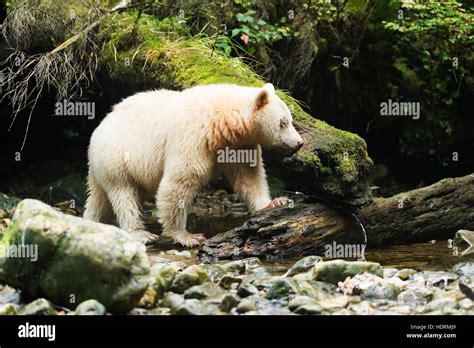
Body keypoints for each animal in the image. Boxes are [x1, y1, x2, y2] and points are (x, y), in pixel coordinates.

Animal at [84, 83, 304, 247]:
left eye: (291, 120)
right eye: (284, 122)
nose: (299, 143)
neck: (223, 120)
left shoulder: (240, 143)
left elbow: (249, 177)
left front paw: (274, 202)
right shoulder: (194, 136)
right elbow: (180, 180)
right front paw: (187, 236)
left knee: (98, 200)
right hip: (117, 157)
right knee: (123, 194)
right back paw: (141, 233)